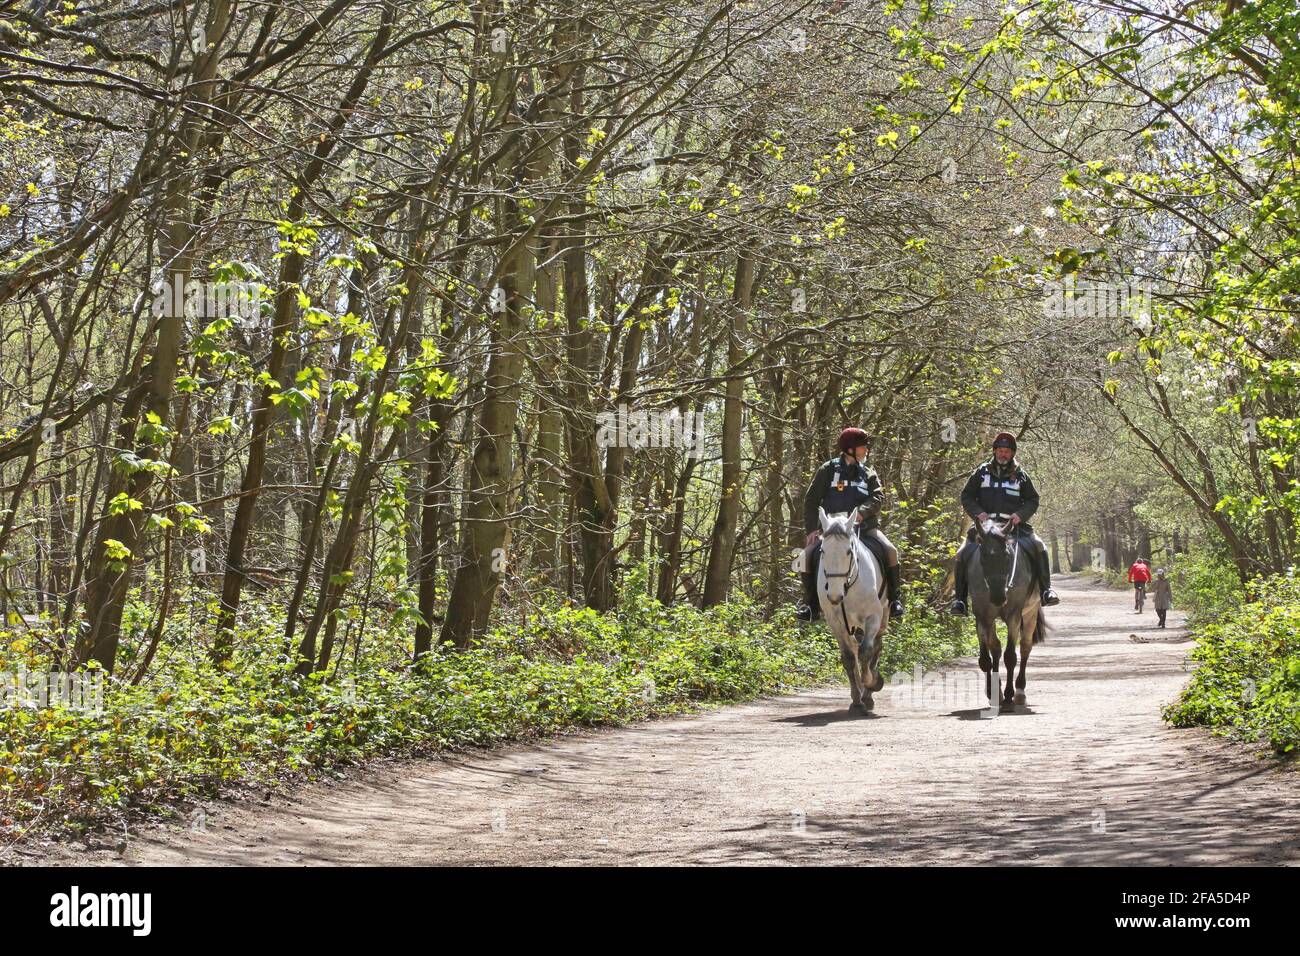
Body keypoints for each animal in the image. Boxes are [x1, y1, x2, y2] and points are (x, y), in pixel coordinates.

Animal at [816, 509, 889, 712]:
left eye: (849, 551)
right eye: (823, 551)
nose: (834, 596)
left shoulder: (873, 617)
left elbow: (866, 651)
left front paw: (872, 683)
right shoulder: (836, 623)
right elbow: (849, 658)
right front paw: (856, 699)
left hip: (882, 617)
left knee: (875, 648)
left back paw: (870, 692)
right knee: (855, 649)